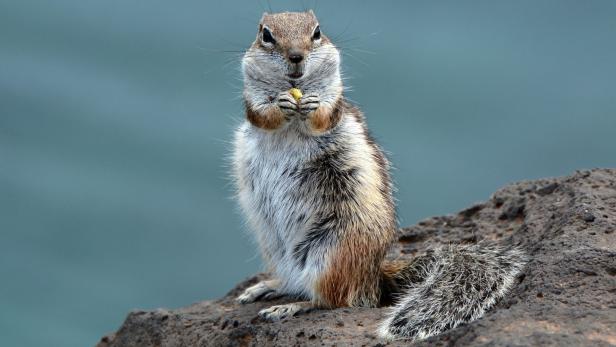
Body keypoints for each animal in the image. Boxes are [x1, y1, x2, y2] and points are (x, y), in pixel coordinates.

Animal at [231, 10, 524, 342]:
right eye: (266, 35)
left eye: (317, 33)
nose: (296, 57)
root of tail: (374, 279)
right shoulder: (252, 98)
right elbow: (261, 114)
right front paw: (280, 104)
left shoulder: (335, 100)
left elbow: (324, 116)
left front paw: (312, 106)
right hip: (275, 248)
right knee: (299, 283)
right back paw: (267, 287)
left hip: (332, 253)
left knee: (334, 300)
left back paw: (291, 306)